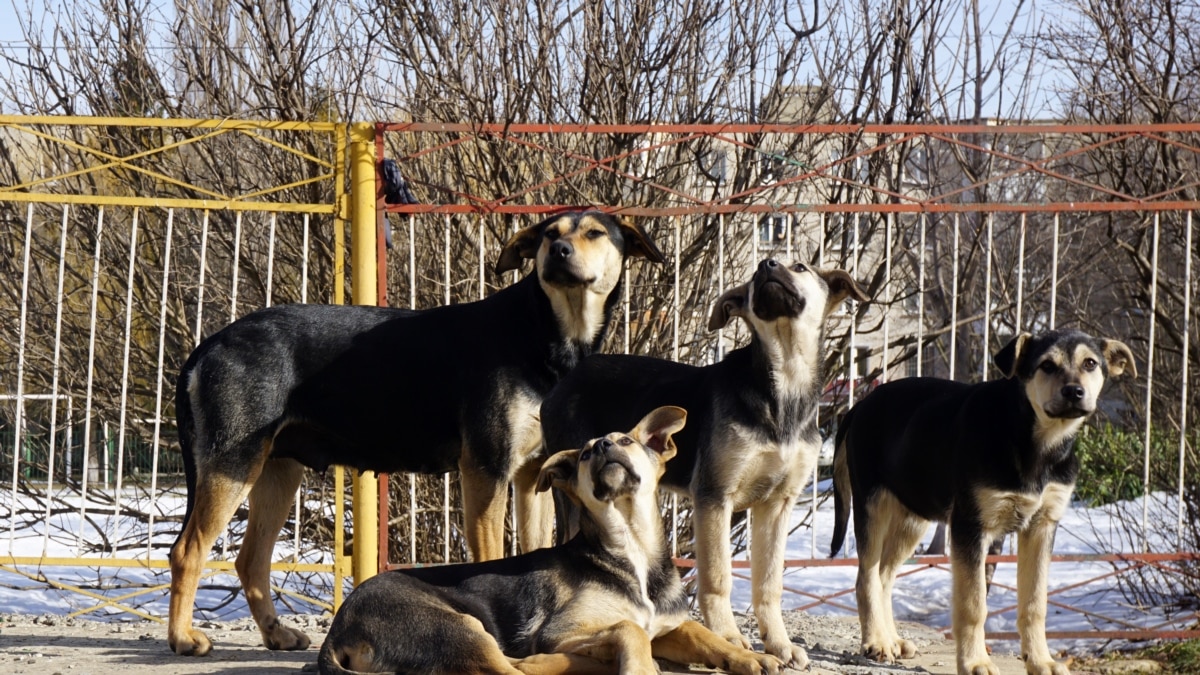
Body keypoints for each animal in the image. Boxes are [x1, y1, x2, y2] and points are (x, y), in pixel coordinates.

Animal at [166, 208, 667, 653]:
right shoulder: (485, 470)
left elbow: (535, 546)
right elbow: (490, 556)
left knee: (251, 559)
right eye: (549, 235)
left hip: (276, 470)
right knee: (187, 551)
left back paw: (276, 635)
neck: (543, 326)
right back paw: (183, 638)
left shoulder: (532, 477)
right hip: (232, 463)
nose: (559, 253)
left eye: (596, 233)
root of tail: (209, 344)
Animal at [319, 403, 787, 672]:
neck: (630, 552)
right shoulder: (562, 629)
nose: (601, 448)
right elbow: (629, 630)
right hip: (460, 627)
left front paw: (753, 657)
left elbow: (702, 635)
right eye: (583, 454)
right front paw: (638, 667)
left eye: (624, 440)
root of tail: (339, 629)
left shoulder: (666, 625)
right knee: (513, 671)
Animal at [542, 254, 864, 662]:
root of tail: (567, 377)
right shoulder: (713, 496)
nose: (767, 263)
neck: (784, 389)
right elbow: (716, 576)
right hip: (573, 495)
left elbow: (769, 583)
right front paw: (727, 638)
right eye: (755, 276)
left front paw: (779, 643)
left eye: (801, 268)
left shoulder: (778, 504)